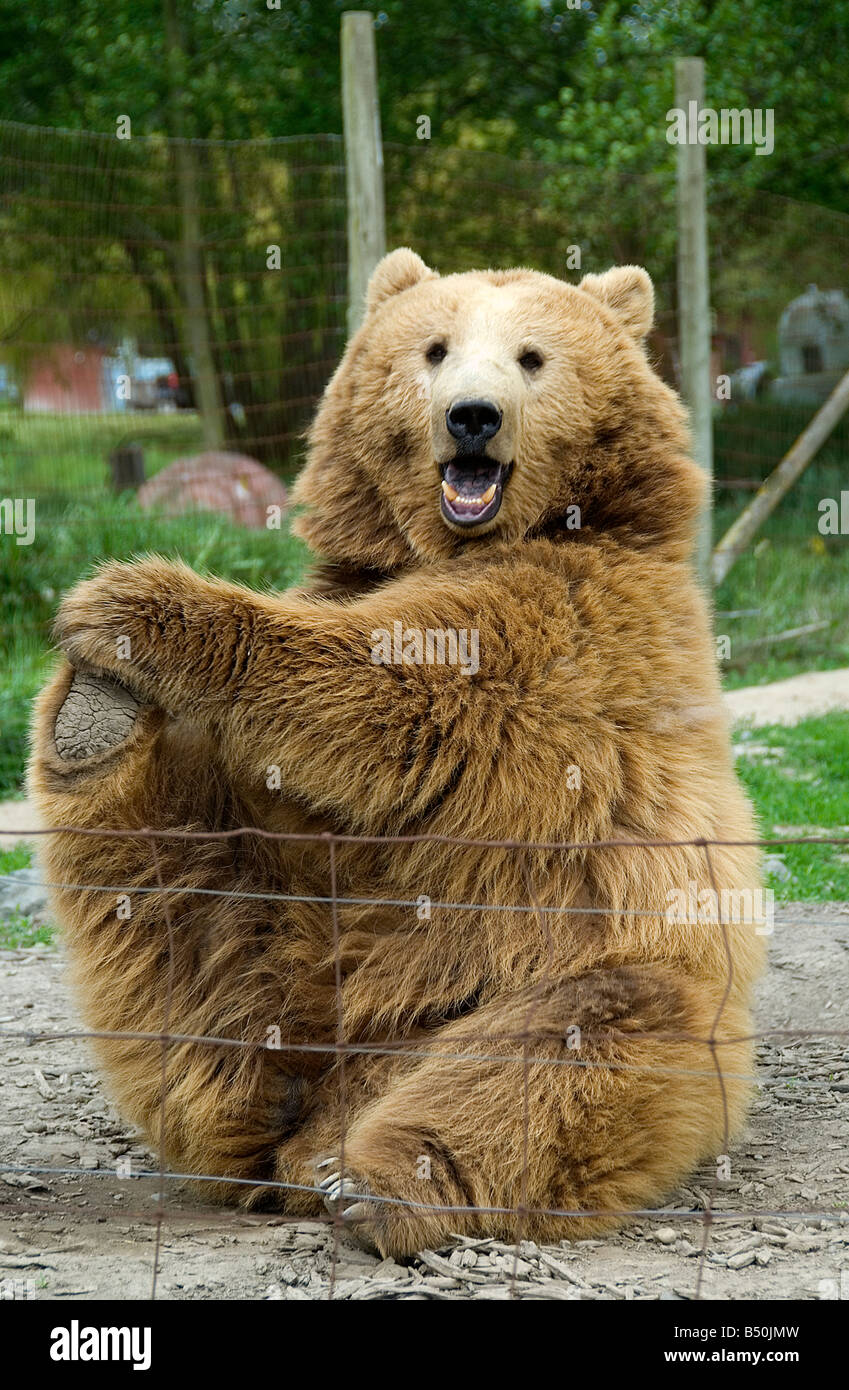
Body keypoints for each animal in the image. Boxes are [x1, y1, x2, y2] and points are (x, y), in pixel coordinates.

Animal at [29, 250, 767, 1262]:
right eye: (435, 349)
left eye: (531, 356)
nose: (472, 416)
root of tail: (338, 1085)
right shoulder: (350, 604)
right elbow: (255, 793)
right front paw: (110, 643)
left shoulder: (574, 625)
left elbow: (401, 689)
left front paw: (144, 604)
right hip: (278, 952)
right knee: (182, 923)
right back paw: (91, 727)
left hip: (580, 967)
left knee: (560, 1049)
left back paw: (378, 1180)